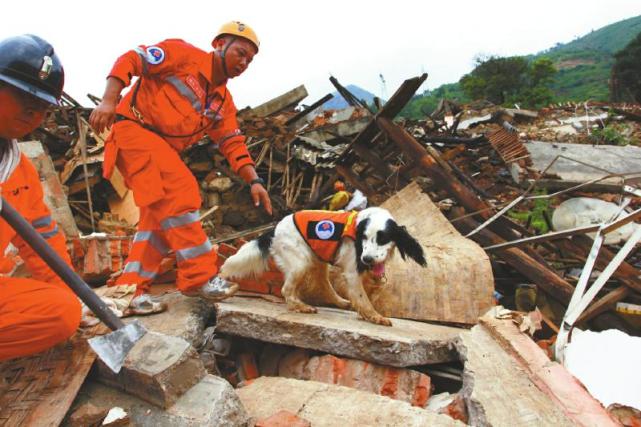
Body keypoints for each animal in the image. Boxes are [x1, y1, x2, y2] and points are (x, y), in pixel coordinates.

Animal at [220, 209, 424, 326]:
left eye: (382, 238)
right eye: (364, 238)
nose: (366, 259)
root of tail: (275, 229)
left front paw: (364, 314)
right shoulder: (352, 271)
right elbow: (363, 298)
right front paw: (375, 317)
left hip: (318, 259)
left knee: (323, 285)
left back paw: (340, 302)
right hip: (300, 263)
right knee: (287, 289)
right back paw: (301, 307)